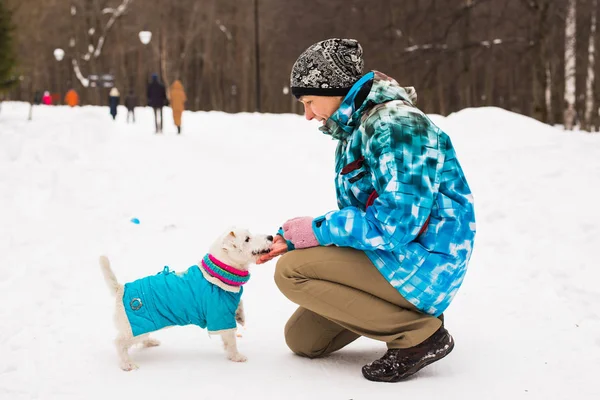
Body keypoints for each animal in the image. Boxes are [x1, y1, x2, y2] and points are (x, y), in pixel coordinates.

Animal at [99, 230, 274, 370]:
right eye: (247, 239)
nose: (271, 237)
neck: (221, 271)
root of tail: (120, 289)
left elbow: (238, 307)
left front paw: (240, 315)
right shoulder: (219, 316)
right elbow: (230, 340)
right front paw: (236, 356)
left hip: (143, 325)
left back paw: (150, 342)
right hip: (133, 328)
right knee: (119, 343)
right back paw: (126, 363)